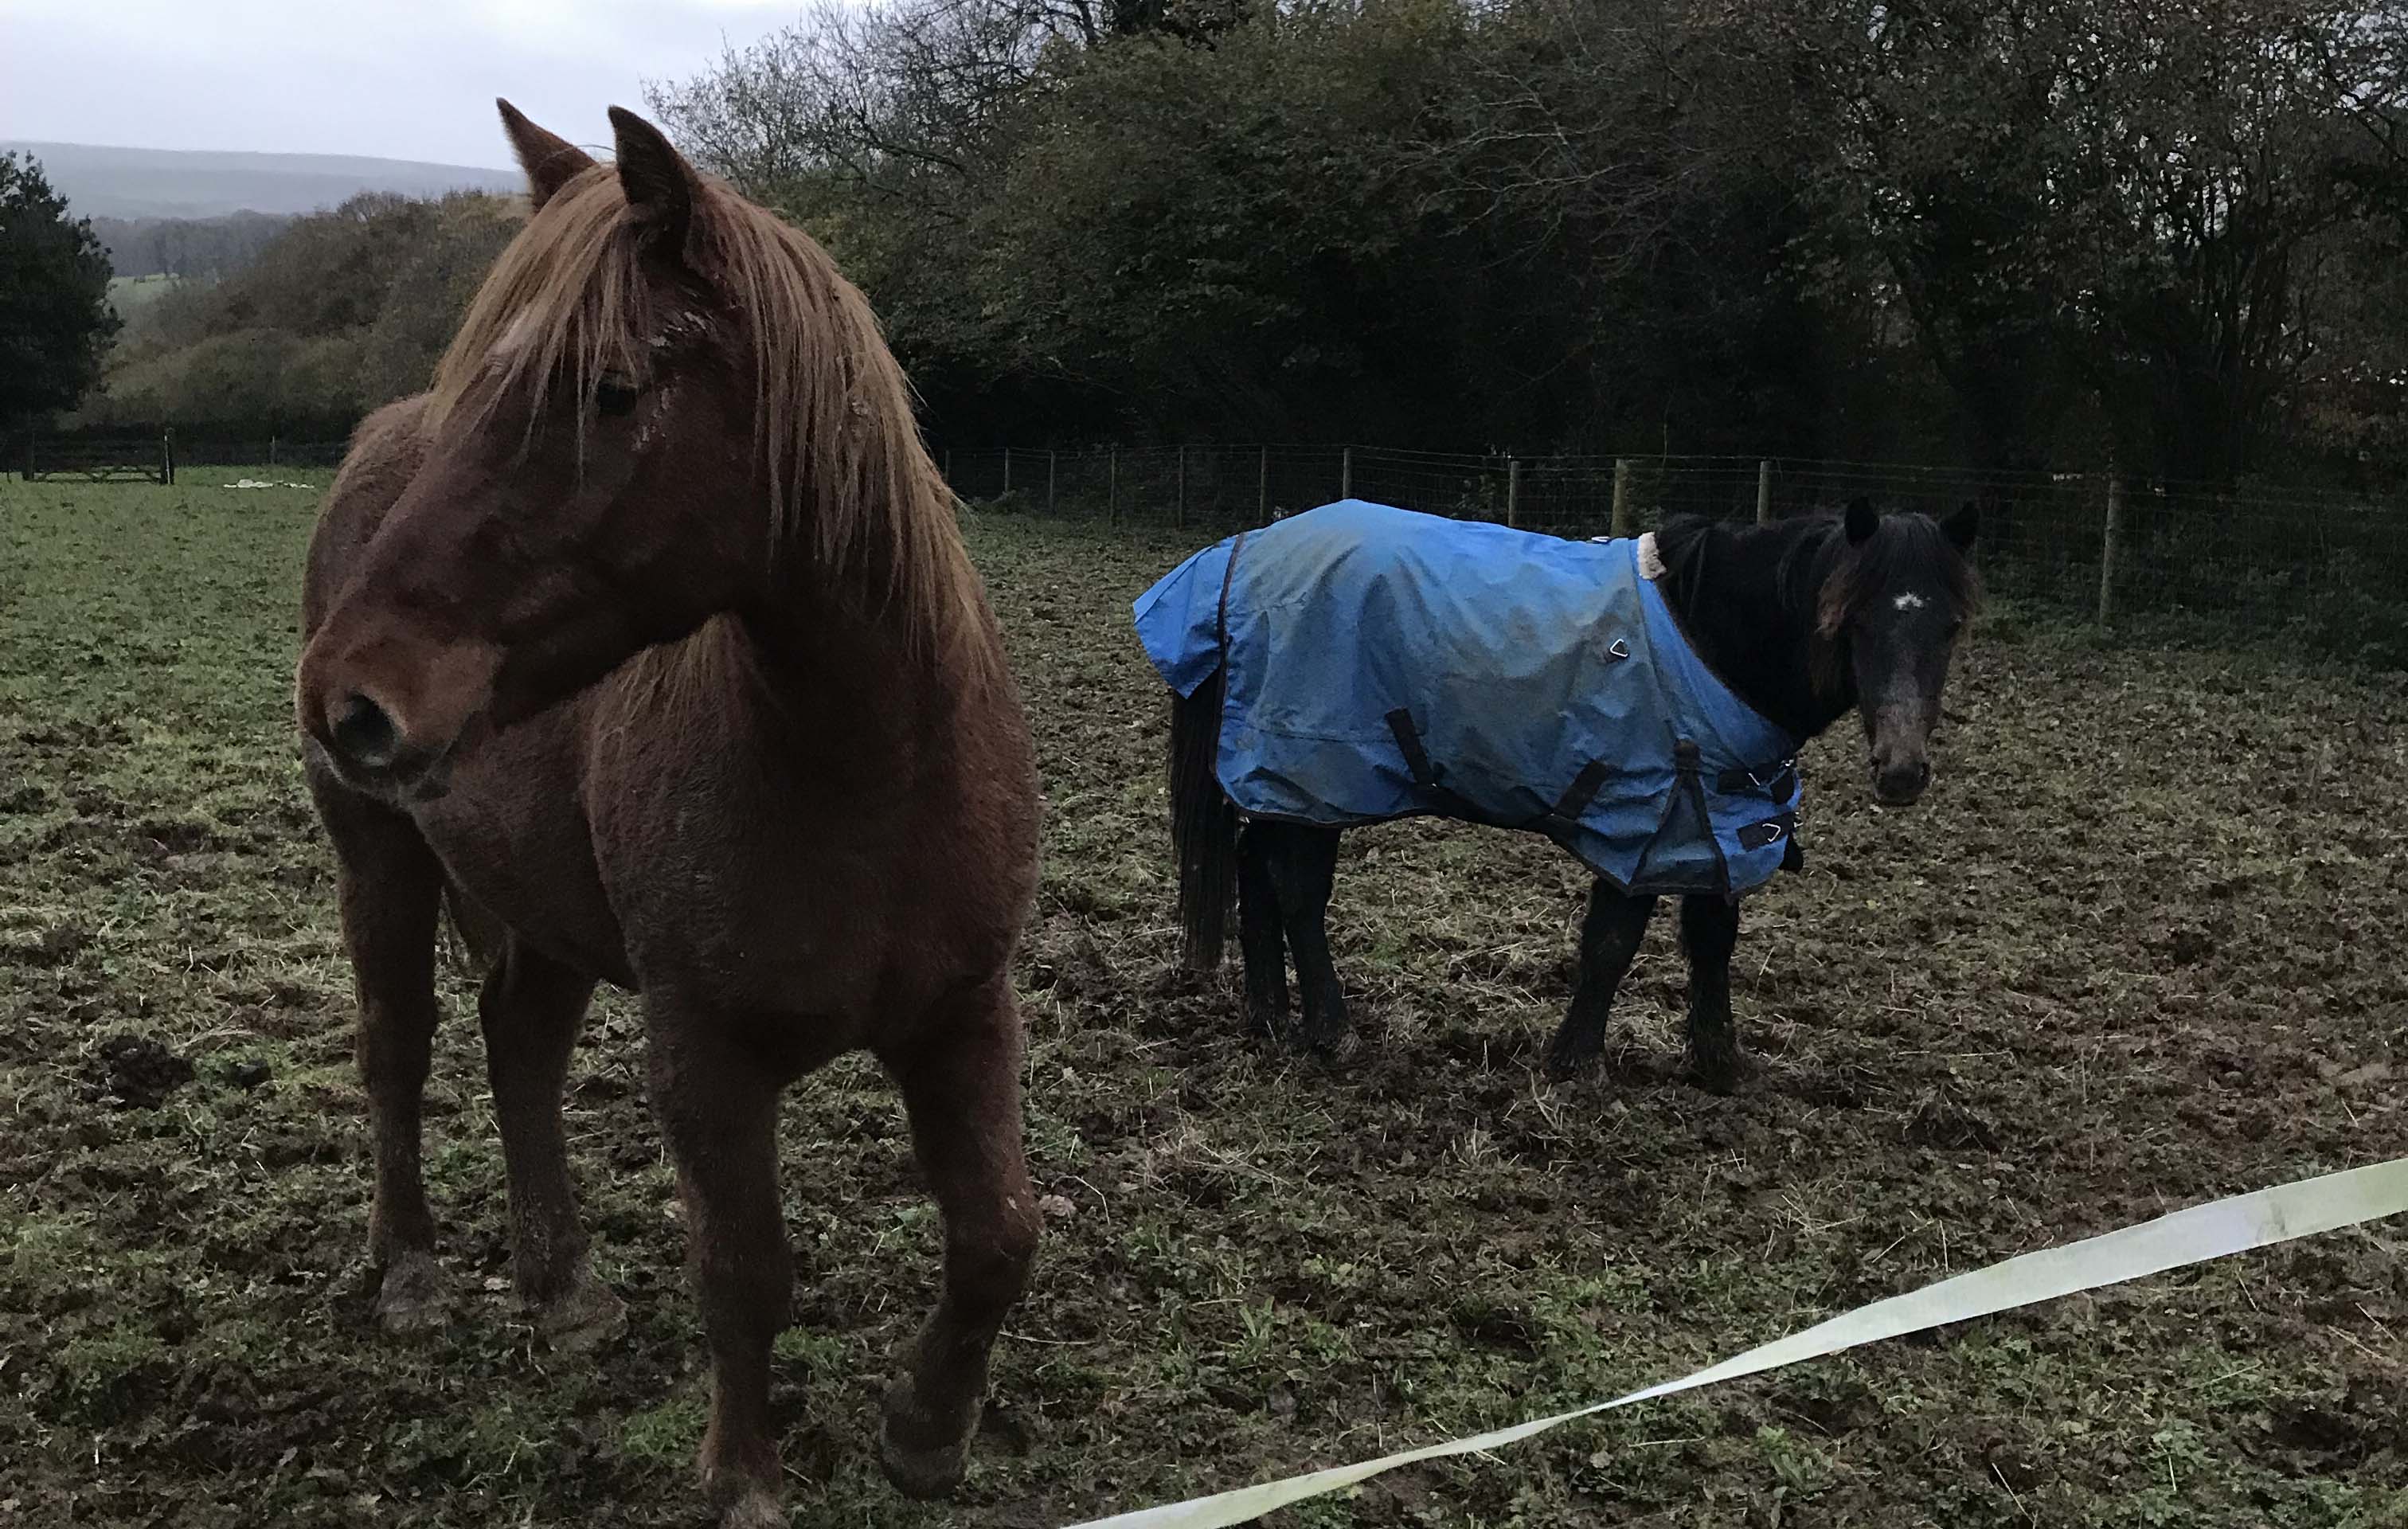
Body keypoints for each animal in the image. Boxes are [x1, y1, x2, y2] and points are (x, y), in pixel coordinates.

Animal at [293, 102, 1041, 1528]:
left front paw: (926, 1431)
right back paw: (410, 1273)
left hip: (544, 910)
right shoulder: (705, 1052)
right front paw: (743, 1477)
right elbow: (745, 1272)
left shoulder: (964, 1012)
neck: (864, 778)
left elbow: (998, 1239)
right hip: (381, 860)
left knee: (518, 1046)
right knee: (398, 1050)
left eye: (611, 392)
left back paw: (563, 1291)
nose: (348, 696)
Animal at [1149, 496, 1978, 1090]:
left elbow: (1712, 936)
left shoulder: (1721, 814)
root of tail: (1242, 551)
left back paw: (1268, 1018)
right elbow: (1612, 942)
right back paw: (1332, 1031)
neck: (1706, 637)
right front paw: (1578, 1064)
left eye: (1949, 628)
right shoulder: (1646, 816)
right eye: (1854, 619)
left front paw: (1720, 1064)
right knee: (1295, 891)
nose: (1902, 770)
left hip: (1280, 786)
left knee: (1256, 874)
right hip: (1311, 776)